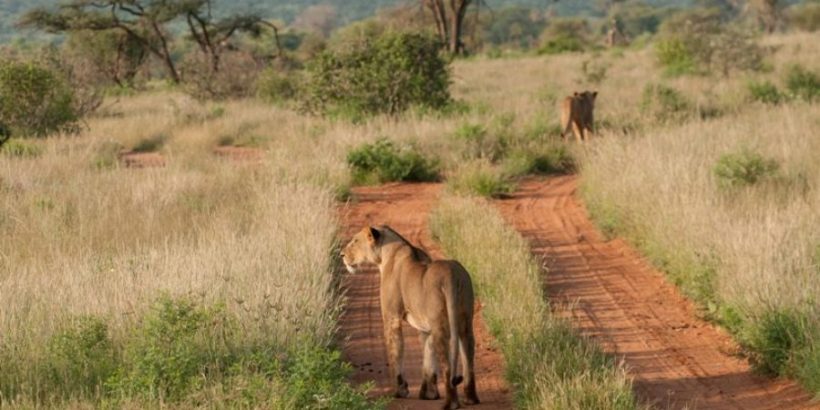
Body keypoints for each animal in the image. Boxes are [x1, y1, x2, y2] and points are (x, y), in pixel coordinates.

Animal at [342, 226, 480, 408]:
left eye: (355, 241)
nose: (342, 255)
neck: (385, 254)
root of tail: (452, 274)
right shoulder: (425, 328)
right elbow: (428, 358)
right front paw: (428, 394)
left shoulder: (391, 317)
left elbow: (395, 352)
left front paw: (399, 391)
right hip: (465, 323)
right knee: (469, 360)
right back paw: (470, 398)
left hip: (440, 326)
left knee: (447, 366)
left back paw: (451, 403)